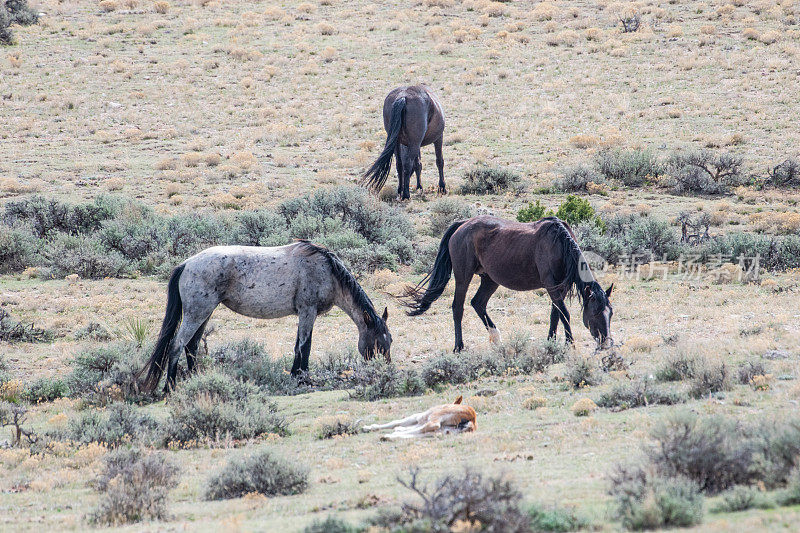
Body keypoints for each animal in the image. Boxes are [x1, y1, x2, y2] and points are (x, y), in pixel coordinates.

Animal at [144, 241, 394, 390]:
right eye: (377, 343)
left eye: (389, 340)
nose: (385, 371)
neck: (328, 272)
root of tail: (186, 264)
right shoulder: (308, 311)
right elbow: (305, 346)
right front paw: (304, 379)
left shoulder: (304, 314)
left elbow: (298, 346)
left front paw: (296, 375)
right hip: (197, 313)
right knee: (177, 345)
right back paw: (170, 387)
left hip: (204, 314)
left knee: (192, 346)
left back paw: (197, 381)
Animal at [404, 214, 616, 352]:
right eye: (595, 312)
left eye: (610, 313)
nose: (606, 342)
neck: (558, 244)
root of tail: (462, 224)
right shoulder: (551, 285)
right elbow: (564, 313)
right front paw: (569, 343)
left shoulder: (560, 288)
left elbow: (555, 314)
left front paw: (551, 341)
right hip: (463, 277)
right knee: (458, 307)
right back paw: (459, 346)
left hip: (490, 280)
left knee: (478, 303)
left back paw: (496, 338)